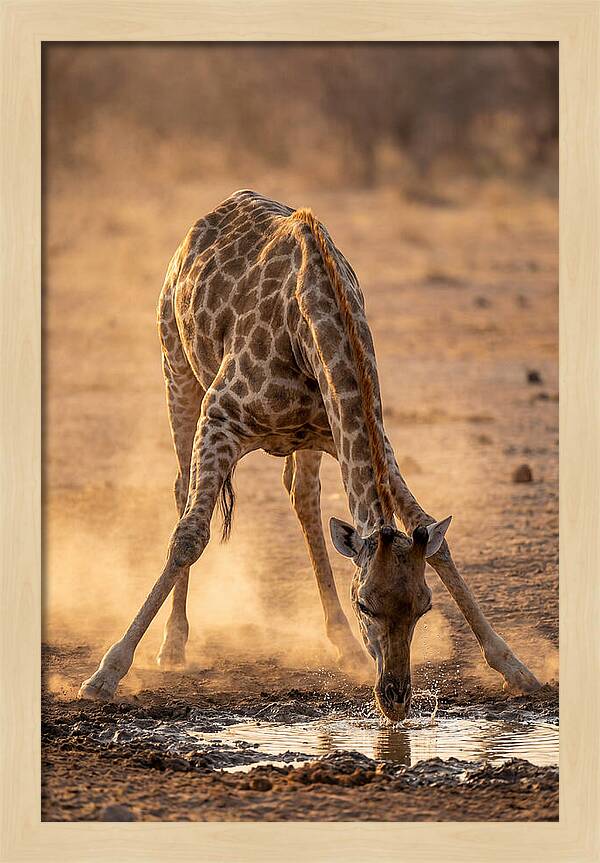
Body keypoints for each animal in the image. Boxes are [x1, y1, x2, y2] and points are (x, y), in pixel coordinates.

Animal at [79, 190, 541, 717]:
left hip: (305, 440)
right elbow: (189, 537)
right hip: (176, 370)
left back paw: (343, 645)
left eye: (423, 606)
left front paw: (515, 667)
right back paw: (173, 645)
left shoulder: (360, 434)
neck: (312, 323)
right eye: (366, 603)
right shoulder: (219, 417)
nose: (396, 699)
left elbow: (435, 541)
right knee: (182, 492)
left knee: (303, 497)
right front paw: (107, 672)